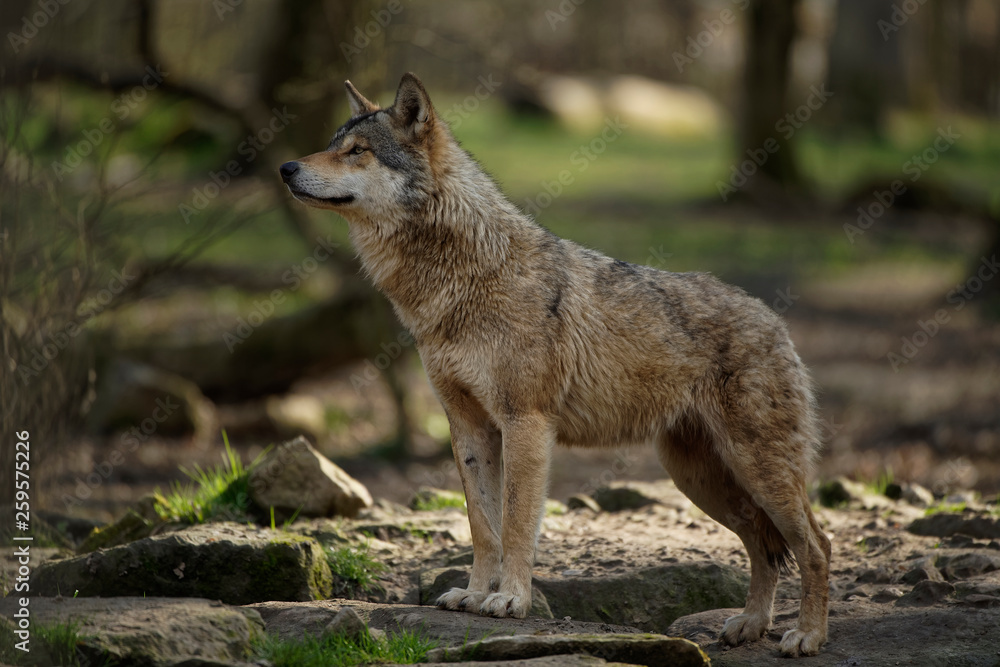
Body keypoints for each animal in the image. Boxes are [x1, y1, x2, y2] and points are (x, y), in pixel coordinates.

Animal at [279, 73, 831, 657]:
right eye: (333, 143)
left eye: (357, 151)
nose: (286, 167)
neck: (462, 281)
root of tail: (773, 318)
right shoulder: (468, 428)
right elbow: (483, 526)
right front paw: (473, 595)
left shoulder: (526, 423)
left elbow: (518, 523)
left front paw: (509, 601)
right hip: (700, 480)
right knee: (763, 546)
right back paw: (751, 625)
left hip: (757, 472)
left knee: (817, 545)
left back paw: (805, 635)